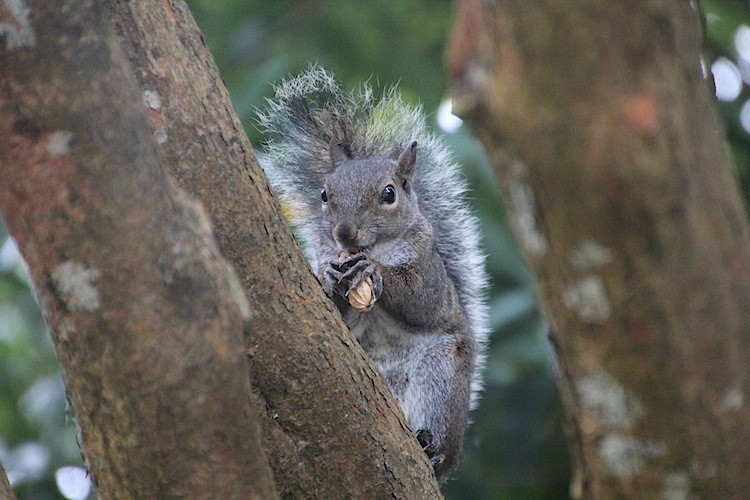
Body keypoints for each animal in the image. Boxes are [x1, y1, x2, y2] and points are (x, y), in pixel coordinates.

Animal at [262, 67, 490, 480]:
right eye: (324, 194)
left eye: (389, 194)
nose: (344, 233)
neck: (373, 247)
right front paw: (332, 281)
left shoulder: (428, 269)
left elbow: (420, 301)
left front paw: (375, 272)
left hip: (440, 377)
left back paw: (432, 448)